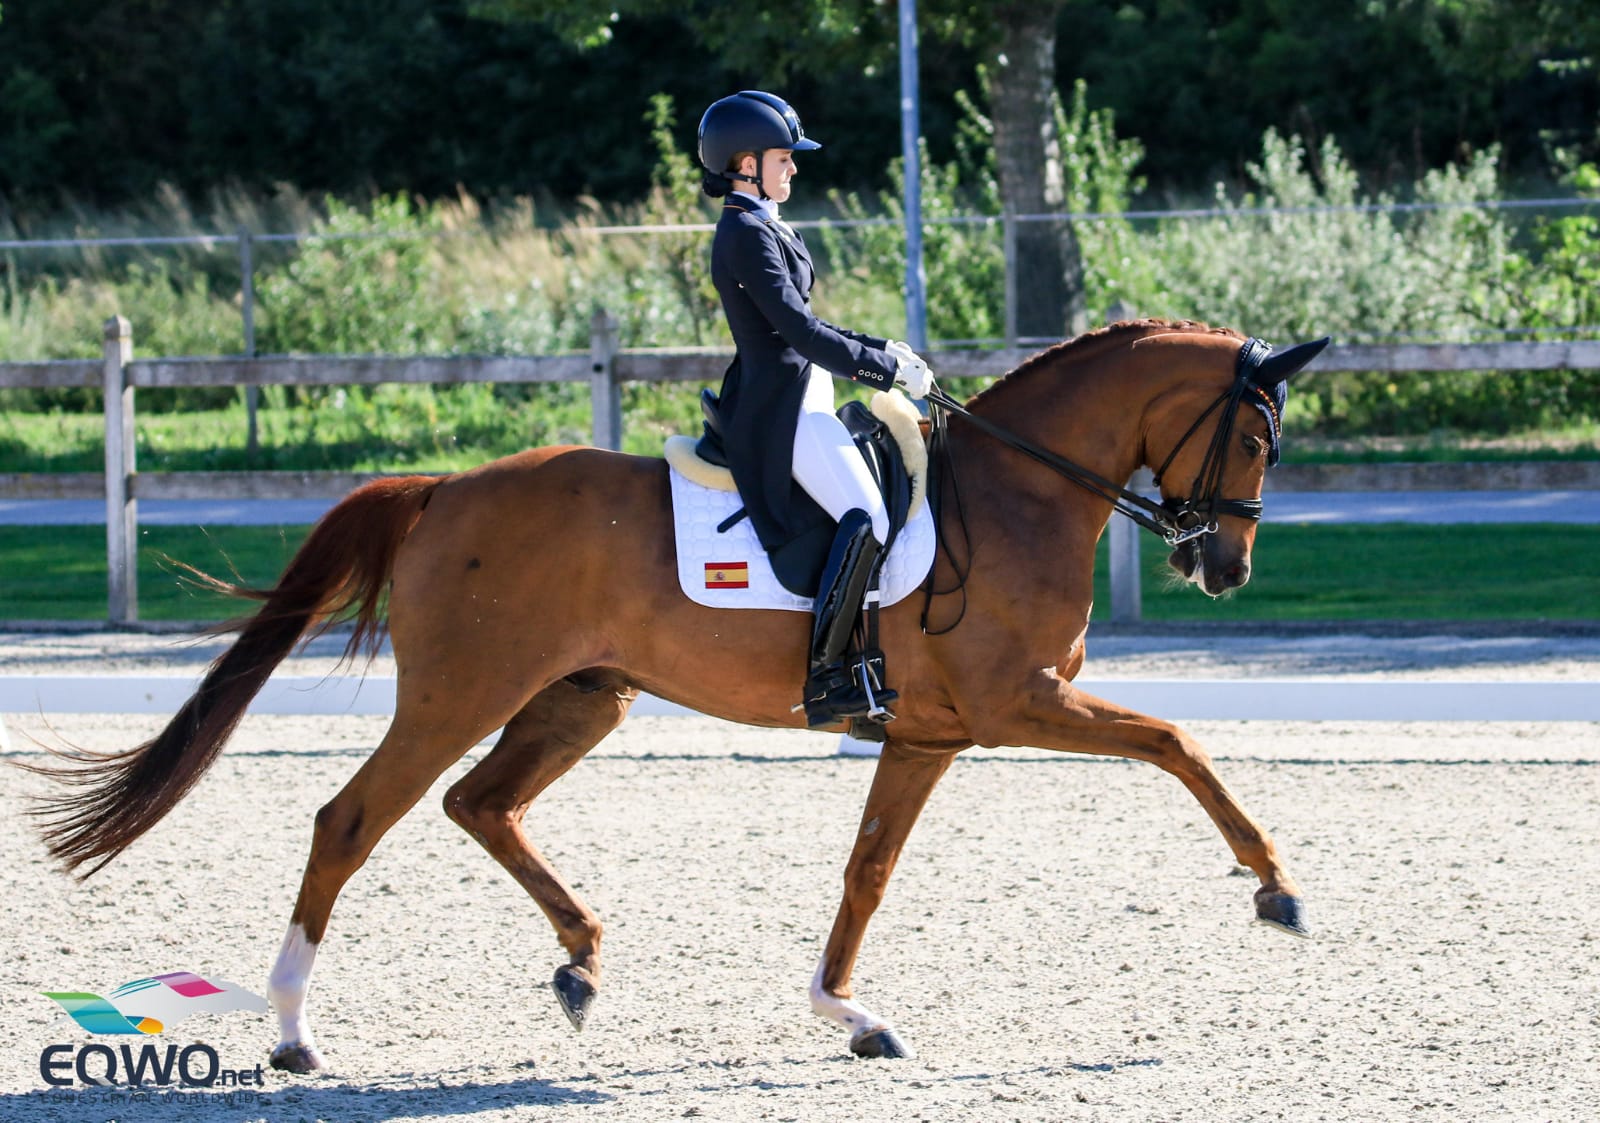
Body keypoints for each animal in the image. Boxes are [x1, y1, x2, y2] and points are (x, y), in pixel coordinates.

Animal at [31, 318, 1324, 1075]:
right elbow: (1178, 740)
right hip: (461, 692)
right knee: (353, 818)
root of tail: (444, 487)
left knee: (479, 804)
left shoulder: (927, 733)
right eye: (1255, 437)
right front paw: (1277, 888)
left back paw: (581, 961)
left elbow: (866, 871)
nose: (1225, 567)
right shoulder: (1018, 705)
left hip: (579, 698)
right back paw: (297, 1030)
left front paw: (845, 1011)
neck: (1016, 493)